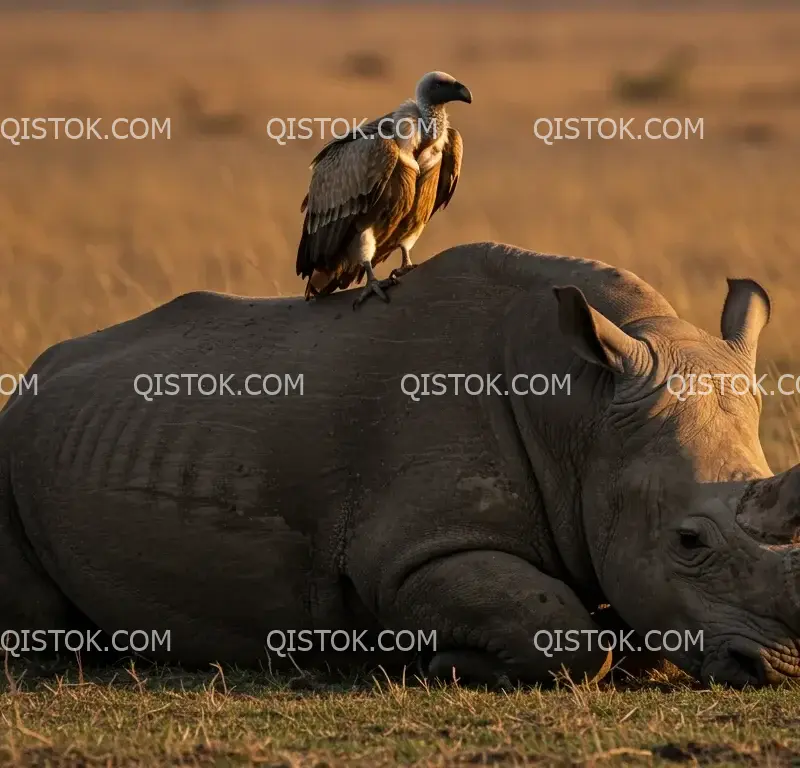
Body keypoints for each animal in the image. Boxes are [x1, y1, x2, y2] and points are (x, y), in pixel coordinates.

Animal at [1, 240, 800, 684]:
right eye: (688, 540)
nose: (782, 669)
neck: (582, 411)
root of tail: (36, 374)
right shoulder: (407, 555)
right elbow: (561, 630)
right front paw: (449, 664)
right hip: (12, 437)